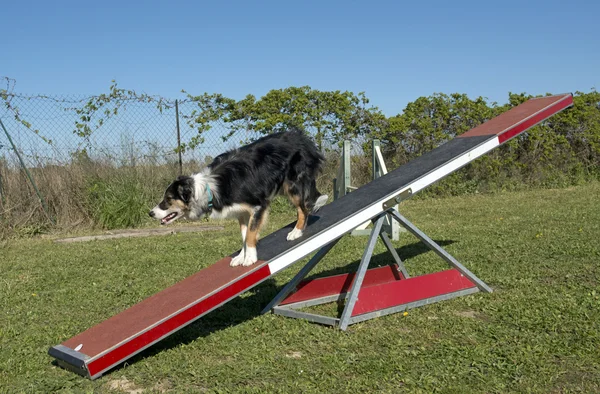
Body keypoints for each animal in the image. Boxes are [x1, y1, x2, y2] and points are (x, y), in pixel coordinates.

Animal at [149, 129, 328, 268]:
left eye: (168, 199)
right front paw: (242, 256)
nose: (150, 213)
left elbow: (250, 234)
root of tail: (302, 137)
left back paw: (296, 231)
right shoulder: (241, 212)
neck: (207, 190)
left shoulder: (258, 206)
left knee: (303, 209)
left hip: (293, 185)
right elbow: (244, 235)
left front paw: (250, 258)